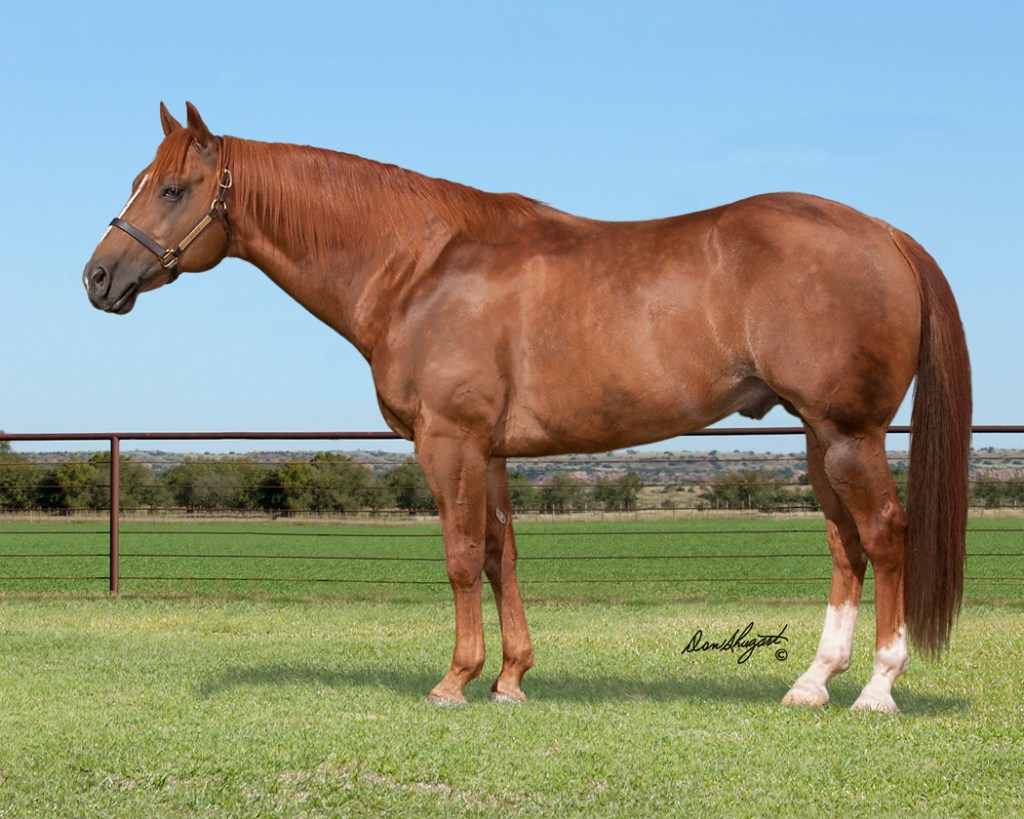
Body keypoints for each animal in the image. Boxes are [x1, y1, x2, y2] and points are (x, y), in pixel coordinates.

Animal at [83, 103, 971, 713]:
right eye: (138, 182)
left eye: (173, 187)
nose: (98, 276)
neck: (420, 266)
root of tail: (885, 233)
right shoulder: (492, 451)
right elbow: (501, 553)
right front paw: (510, 678)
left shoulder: (448, 441)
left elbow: (458, 556)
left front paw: (454, 680)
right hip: (821, 437)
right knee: (845, 544)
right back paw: (813, 683)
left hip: (848, 432)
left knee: (883, 534)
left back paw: (877, 689)